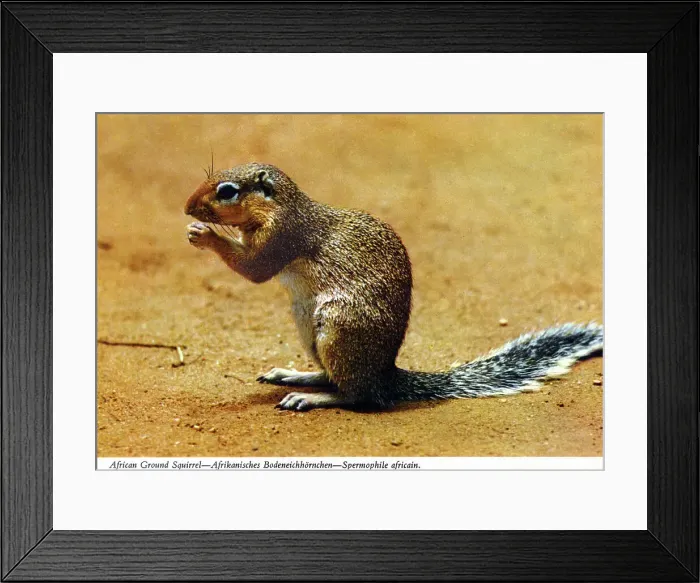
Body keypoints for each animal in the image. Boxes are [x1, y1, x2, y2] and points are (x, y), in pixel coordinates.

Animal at [185, 162, 603, 411]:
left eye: (227, 190)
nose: (187, 206)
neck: (283, 207)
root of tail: (387, 374)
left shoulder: (282, 237)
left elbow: (254, 268)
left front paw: (205, 235)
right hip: (308, 326)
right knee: (337, 377)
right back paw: (294, 375)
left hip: (337, 328)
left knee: (356, 395)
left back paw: (309, 397)